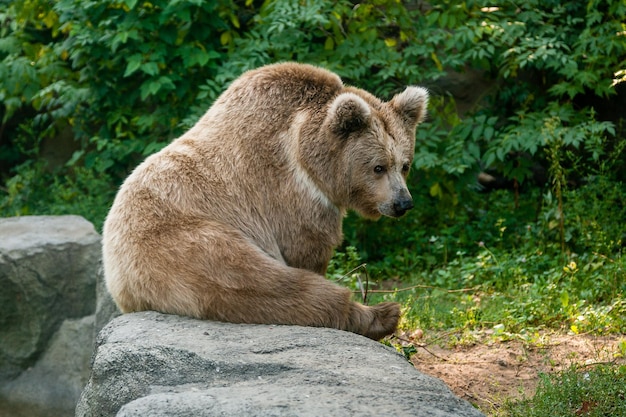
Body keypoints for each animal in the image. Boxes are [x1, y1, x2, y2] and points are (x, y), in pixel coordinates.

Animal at [102, 62, 426, 342]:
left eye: (405, 165)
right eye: (378, 167)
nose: (403, 203)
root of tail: (116, 272)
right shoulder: (288, 192)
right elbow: (307, 247)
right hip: (187, 245)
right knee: (270, 285)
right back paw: (383, 314)